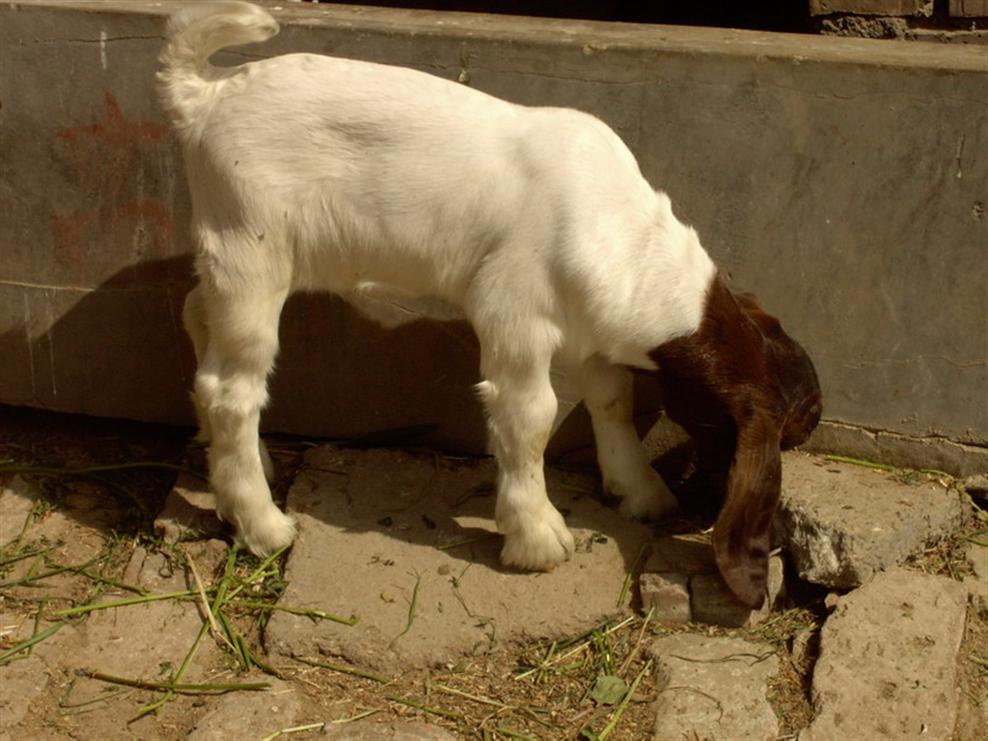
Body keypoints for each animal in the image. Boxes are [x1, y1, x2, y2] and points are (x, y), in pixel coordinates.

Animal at [156, 0, 820, 608]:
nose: (703, 507)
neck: (629, 243)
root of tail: (203, 95)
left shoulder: (589, 332)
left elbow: (612, 397)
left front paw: (639, 490)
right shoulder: (514, 310)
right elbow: (530, 417)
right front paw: (537, 537)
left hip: (228, 257)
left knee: (195, 318)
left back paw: (235, 467)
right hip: (251, 248)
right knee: (230, 388)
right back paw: (262, 523)